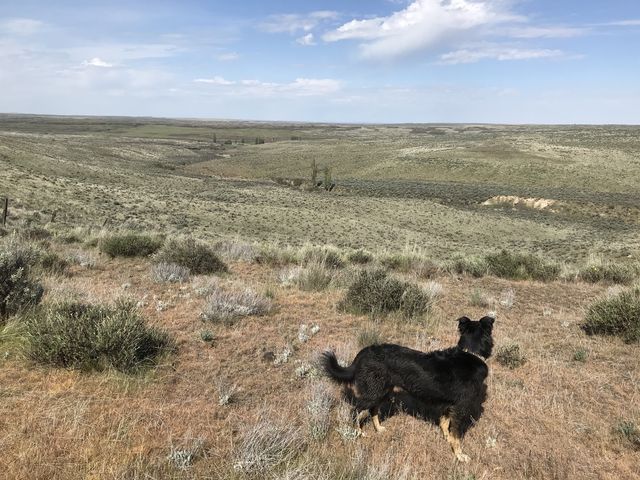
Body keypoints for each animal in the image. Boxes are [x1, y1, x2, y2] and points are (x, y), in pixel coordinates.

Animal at [320, 316, 496, 462]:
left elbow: (445, 424)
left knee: (373, 410)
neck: (470, 352)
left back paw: (379, 428)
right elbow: (457, 435)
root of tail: (364, 352)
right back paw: (358, 432)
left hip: (383, 390)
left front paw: (447, 439)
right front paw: (459, 455)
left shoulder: (450, 404)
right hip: (373, 392)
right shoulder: (460, 407)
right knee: (355, 410)